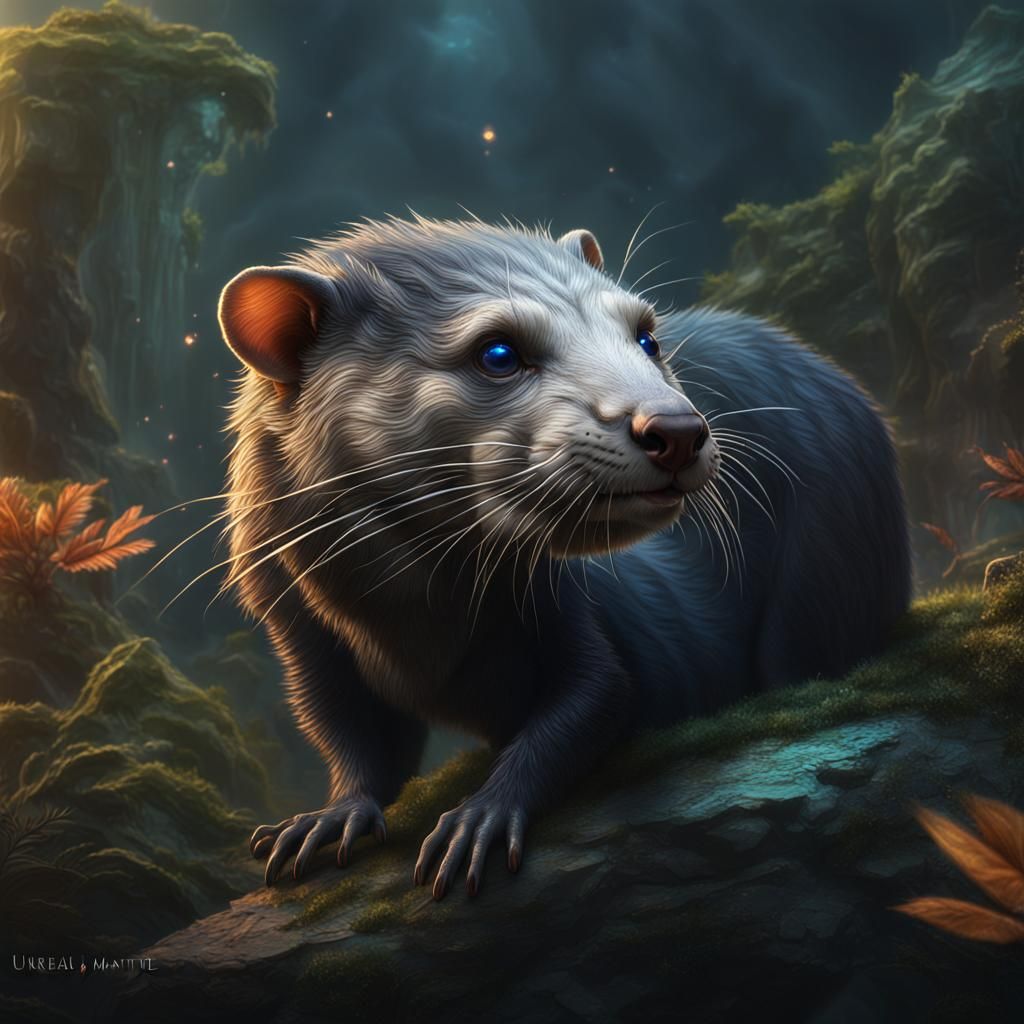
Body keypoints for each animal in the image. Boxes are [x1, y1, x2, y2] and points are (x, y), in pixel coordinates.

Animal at [217, 216, 910, 899]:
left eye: (646, 337)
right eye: (497, 353)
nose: (676, 429)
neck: (407, 623)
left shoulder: (570, 609)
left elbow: (594, 699)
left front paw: (481, 815)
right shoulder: (303, 635)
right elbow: (351, 740)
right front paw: (328, 818)